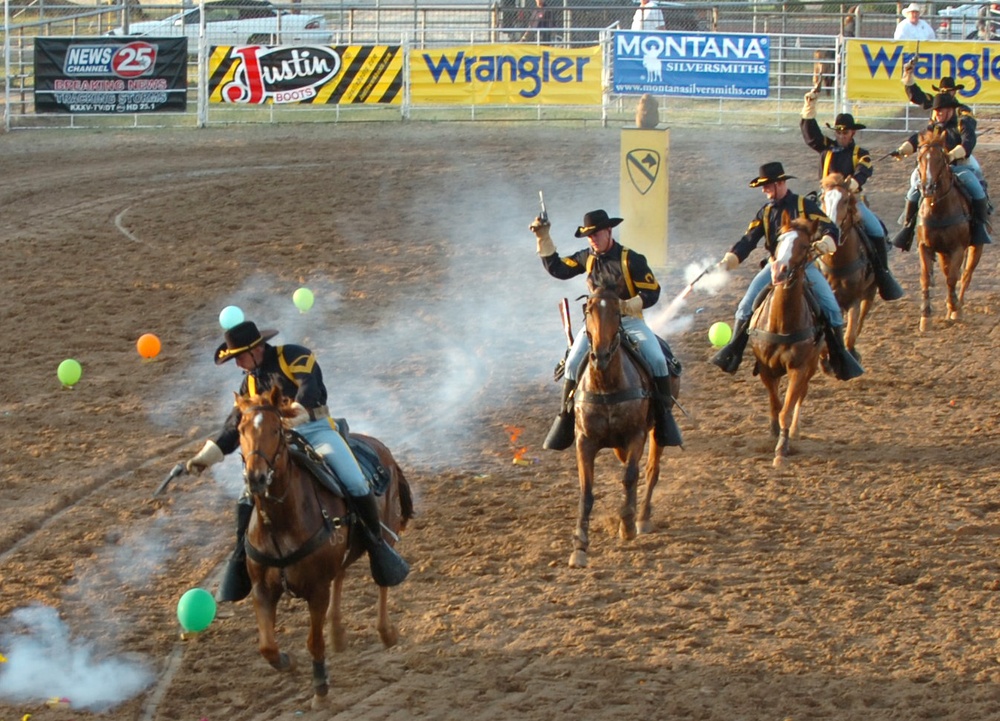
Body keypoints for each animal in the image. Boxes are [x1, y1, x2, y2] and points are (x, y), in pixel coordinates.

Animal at [236, 386, 412, 704]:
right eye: (241, 429)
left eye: (276, 429)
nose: (256, 478)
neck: (280, 522)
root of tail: (380, 448)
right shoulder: (262, 589)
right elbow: (267, 646)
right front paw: (287, 661)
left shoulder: (316, 590)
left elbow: (313, 641)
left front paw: (320, 687)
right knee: (341, 574)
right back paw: (338, 633)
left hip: (388, 531)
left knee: (382, 577)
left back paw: (386, 632)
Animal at [568, 286, 676, 568]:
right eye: (589, 310)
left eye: (618, 312)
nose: (601, 355)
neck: (606, 384)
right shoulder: (584, 441)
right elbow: (586, 492)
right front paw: (579, 546)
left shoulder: (636, 434)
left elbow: (629, 476)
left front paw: (626, 525)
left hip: (657, 432)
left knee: (650, 471)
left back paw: (642, 517)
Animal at [752, 211, 820, 466]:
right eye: (780, 241)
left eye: (804, 245)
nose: (779, 270)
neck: (782, 324)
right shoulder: (765, 368)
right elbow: (775, 403)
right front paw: (773, 434)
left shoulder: (799, 368)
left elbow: (787, 409)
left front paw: (782, 449)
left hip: (812, 364)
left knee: (801, 394)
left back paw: (794, 431)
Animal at [820, 172, 876, 358]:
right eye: (823, 199)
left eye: (845, 200)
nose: (832, 229)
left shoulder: (854, 299)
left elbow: (850, 335)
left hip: (870, 292)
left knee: (860, 320)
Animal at [916, 127, 980, 332]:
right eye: (920, 158)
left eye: (941, 158)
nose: (927, 187)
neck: (938, 208)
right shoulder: (924, 246)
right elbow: (926, 278)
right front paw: (925, 317)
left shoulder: (958, 248)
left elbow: (952, 278)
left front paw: (953, 307)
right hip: (943, 252)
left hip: (975, 248)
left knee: (965, 275)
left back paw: (957, 307)